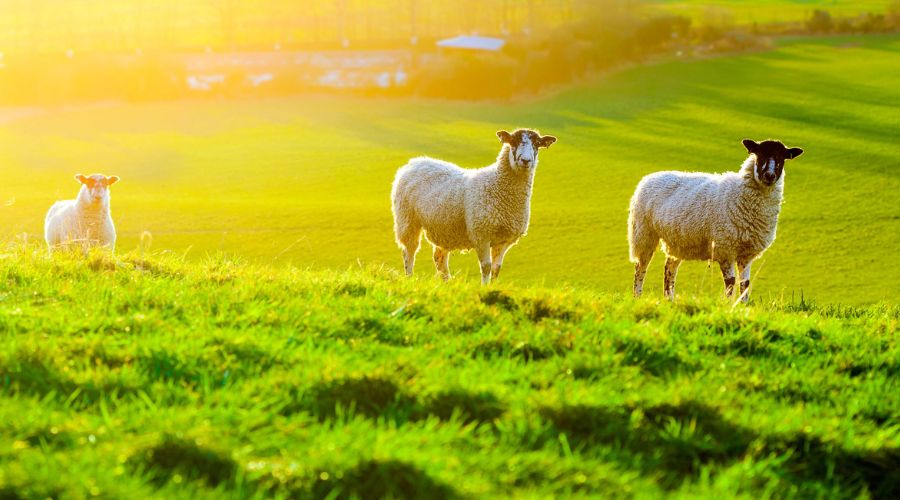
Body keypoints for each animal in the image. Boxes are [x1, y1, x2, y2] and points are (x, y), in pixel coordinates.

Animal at [392, 128, 556, 286]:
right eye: (513, 142)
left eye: (537, 144)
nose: (526, 160)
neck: (497, 186)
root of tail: (415, 162)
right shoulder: (481, 235)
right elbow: (486, 266)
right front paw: (483, 287)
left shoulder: (504, 239)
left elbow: (496, 269)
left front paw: (493, 287)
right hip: (407, 219)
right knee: (409, 251)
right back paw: (409, 278)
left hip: (444, 228)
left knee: (439, 257)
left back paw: (447, 283)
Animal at [628, 139, 804, 302]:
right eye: (759, 154)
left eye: (782, 157)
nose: (769, 175)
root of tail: (649, 177)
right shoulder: (725, 248)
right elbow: (731, 282)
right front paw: (728, 305)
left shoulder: (747, 253)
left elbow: (745, 284)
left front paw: (743, 306)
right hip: (643, 234)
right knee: (640, 268)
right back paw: (637, 297)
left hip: (677, 241)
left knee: (669, 269)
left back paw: (669, 300)